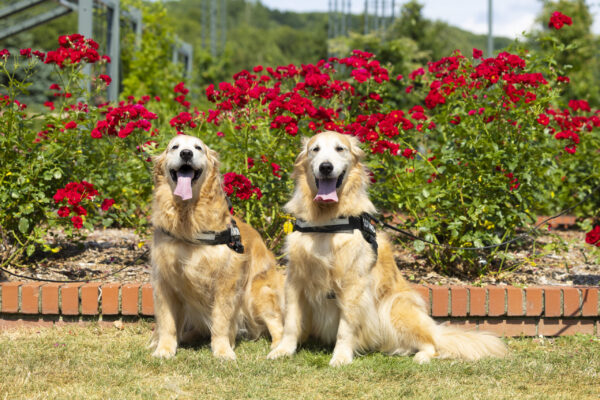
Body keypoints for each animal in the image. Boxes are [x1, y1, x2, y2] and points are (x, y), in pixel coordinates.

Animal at [148, 134, 284, 360]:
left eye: (198, 147)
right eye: (174, 147)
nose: (186, 153)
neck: (188, 218)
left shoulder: (225, 282)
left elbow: (220, 321)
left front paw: (222, 350)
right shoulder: (165, 281)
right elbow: (167, 323)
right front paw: (164, 348)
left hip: (256, 294)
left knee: (277, 324)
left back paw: (278, 348)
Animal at [268, 130, 506, 366]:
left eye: (340, 149)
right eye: (315, 149)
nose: (326, 166)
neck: (326, 223)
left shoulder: (354, 284)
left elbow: (345, 327)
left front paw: (341, 356)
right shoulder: (295, 280)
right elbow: (291, 323)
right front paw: (283, 350)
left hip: (395, 307)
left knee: (432, 344)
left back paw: (421, 356)